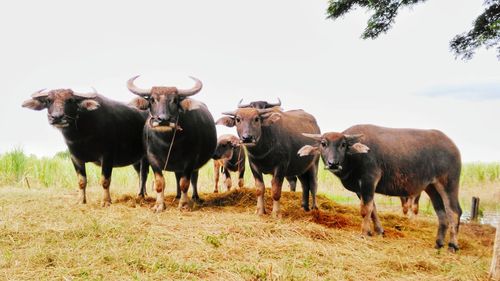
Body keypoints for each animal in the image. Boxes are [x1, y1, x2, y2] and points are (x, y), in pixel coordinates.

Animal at [21, 88, 149, 205]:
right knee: (140, 174)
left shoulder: (107, 156)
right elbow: (81, 181)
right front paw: (81, 200)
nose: (57, 117)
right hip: (136, 160)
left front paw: (106, 201)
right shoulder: (75, 158)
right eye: (48, 100)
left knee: (143, 174)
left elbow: (105, 180)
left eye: (70, 100)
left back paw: (141, 196)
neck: (81, 137)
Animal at [128, 75, 216, 211]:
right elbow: (159, 182)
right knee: (145, 175)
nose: (163, 119)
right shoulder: (152, 158)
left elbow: (185, 183)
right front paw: (159, 205)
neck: (168, 143)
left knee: (193, 178)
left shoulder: (190, 160)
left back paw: (194, 197)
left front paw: (184, 205)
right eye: (152, 100)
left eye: (175, 100)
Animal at [298, 123, 462, 250]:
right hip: (432, 187)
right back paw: (439, 243)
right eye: (323, 144)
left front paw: (364, 233)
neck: (355, 157)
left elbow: (365, 209)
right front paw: (378, 231)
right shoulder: (360, 189)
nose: (333, 163)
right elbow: (373, 210)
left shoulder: (369, 181)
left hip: (448, 184)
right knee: (441, 213)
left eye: (343, 145)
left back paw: (453, 245)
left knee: (454, 211)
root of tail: (453, 147)